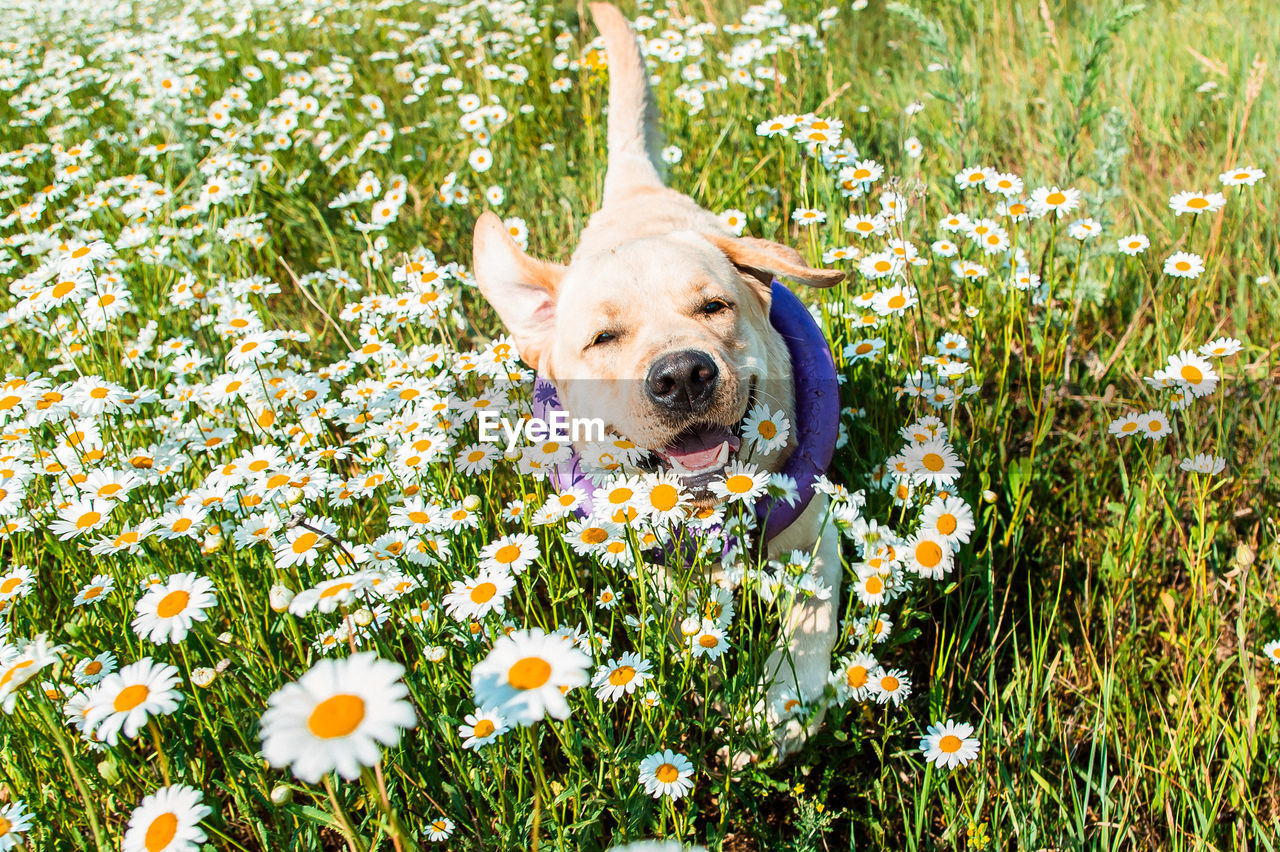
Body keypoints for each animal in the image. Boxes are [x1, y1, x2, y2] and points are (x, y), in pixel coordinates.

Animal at [476, 1, 844, 757]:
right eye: (603, 338)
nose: (681, 377)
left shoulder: (821, 531)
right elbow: (677, 619)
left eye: (714, 307)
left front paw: (779, 709)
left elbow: (810, 619)